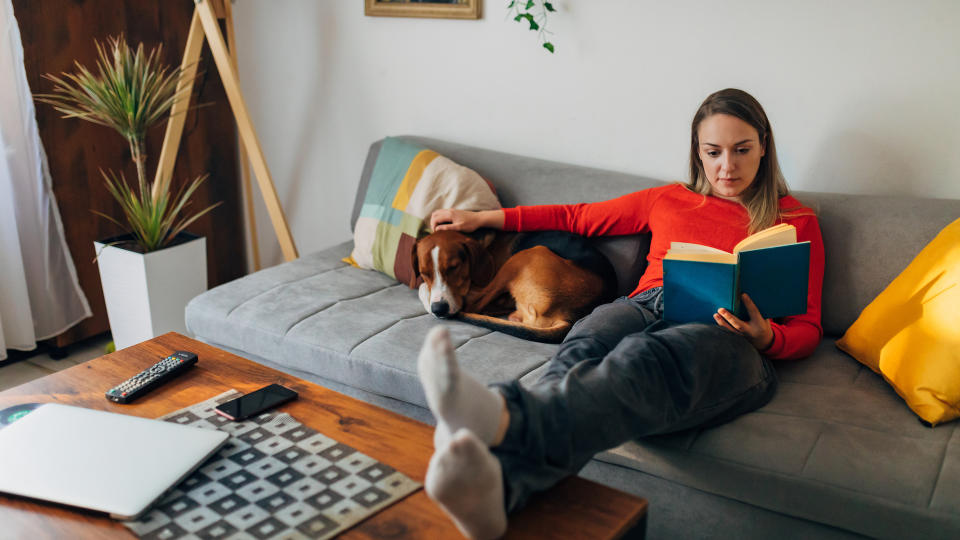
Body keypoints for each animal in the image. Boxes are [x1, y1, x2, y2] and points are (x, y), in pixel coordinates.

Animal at [410, 229, 616, 342]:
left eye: (454, 267)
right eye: (423, 273)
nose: (439, 309)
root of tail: (571, 317)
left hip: (526, 255)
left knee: (474, 305)